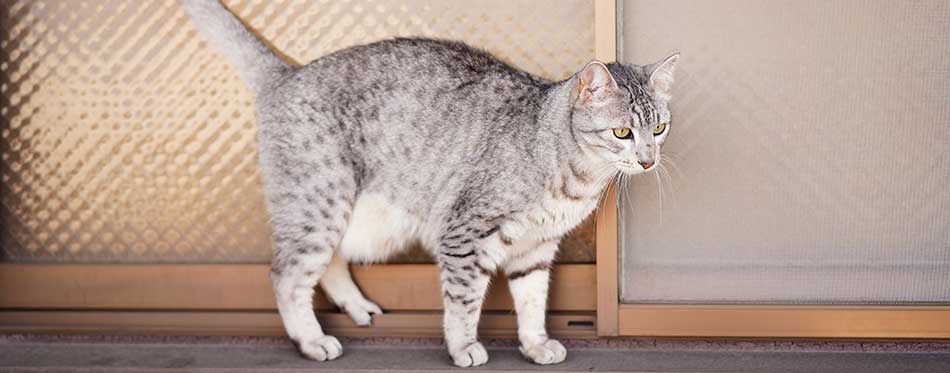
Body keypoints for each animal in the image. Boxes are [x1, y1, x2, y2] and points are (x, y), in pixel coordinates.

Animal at [184, 0, 676, 366]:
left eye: (658, 128)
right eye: (622, 132)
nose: (648, 161)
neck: (576, 176)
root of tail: (288, 73)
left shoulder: (535, 249)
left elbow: (533, 301)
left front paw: (535, 344)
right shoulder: (463, 234)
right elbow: (463, 302)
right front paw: (463, 347)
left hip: (361, 222)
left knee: (330, 262)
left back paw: (356, 308)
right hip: (320, 201)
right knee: (286, 274)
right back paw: (312, 340)